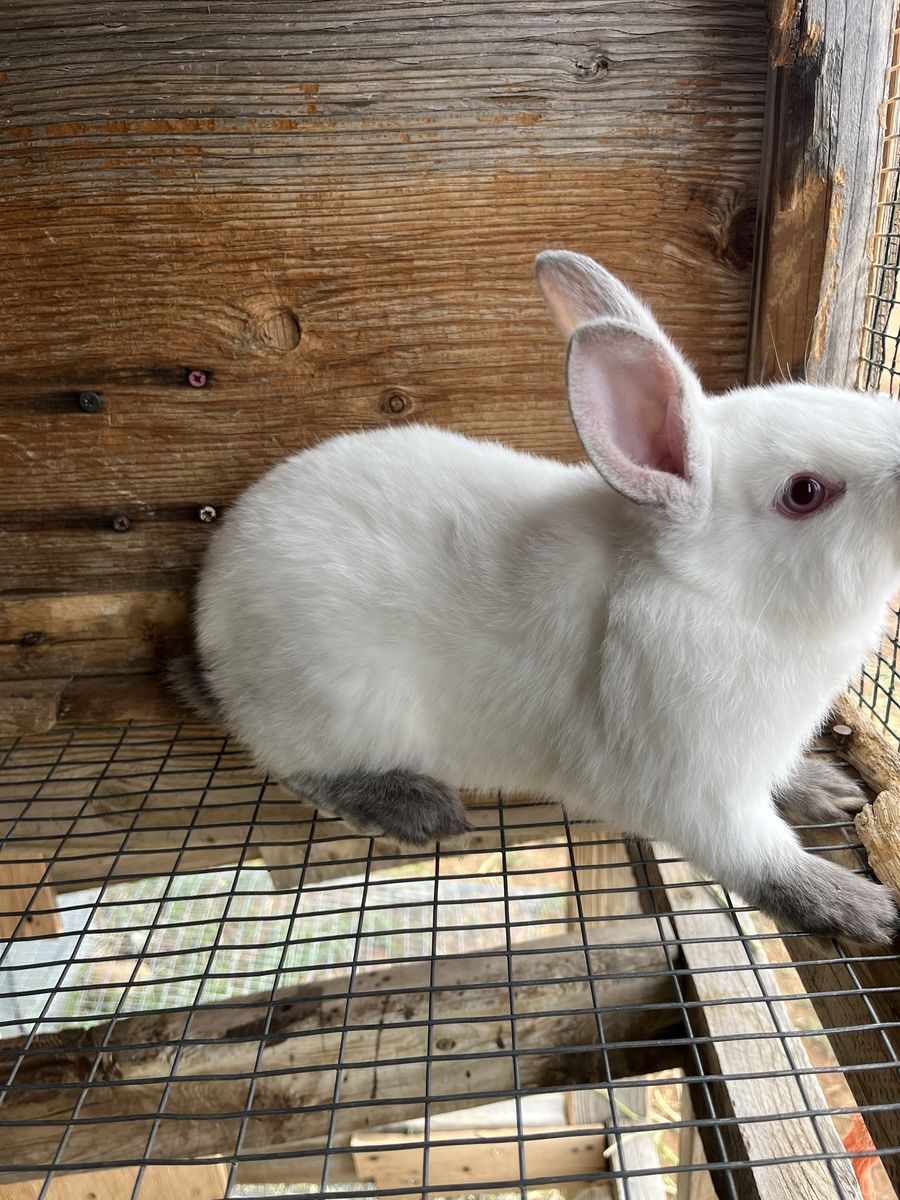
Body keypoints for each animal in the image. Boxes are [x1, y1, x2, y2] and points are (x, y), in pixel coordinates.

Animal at [172, 250, 900, 945]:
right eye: (804, 492)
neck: (722, 596)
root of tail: (210, 617)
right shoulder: (702, 795)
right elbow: (764, 860)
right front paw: (858, 907)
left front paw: (828, 789)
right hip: (335, 706)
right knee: (297, 768)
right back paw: (418, 807)